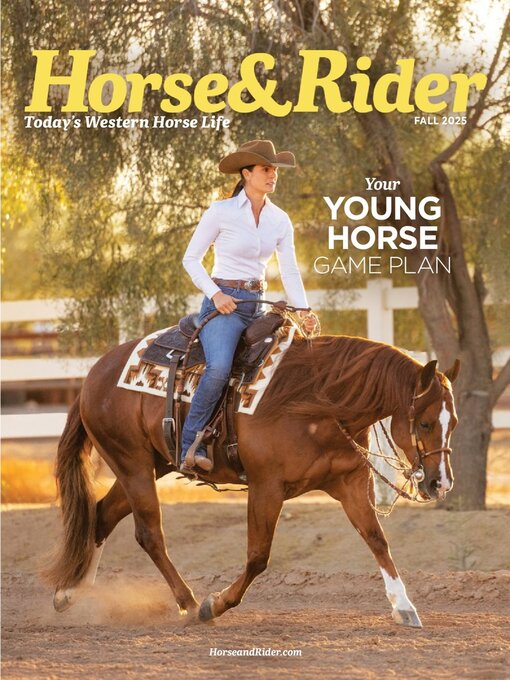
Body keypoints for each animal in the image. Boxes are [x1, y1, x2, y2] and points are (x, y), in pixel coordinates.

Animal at [45, 331, 459, 628]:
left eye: (452, 422)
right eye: (424, 423)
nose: (440, 484)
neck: (319, 404)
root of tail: (93, 375)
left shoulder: (350, 484)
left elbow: (377, 540)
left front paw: (404, 606)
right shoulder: (266, 488)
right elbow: (258, 557)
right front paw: (215, 604)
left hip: (151, 464)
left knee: (102, 514)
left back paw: (70, 592)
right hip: (132, 465)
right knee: (148, 534)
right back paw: (189, 602)